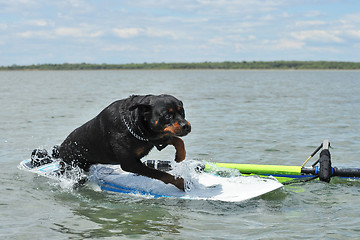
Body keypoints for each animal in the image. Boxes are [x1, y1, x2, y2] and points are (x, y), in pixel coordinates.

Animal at [57, 94, 191, 190]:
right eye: (167, 115)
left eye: (182, 112)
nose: (186, 126)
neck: (134, 123)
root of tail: (60, 149)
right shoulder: (130, 163)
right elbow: (159, 173)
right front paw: (180, 182)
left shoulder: (153, 137)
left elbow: (177, 139)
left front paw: (180, 156)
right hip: (71, 166)